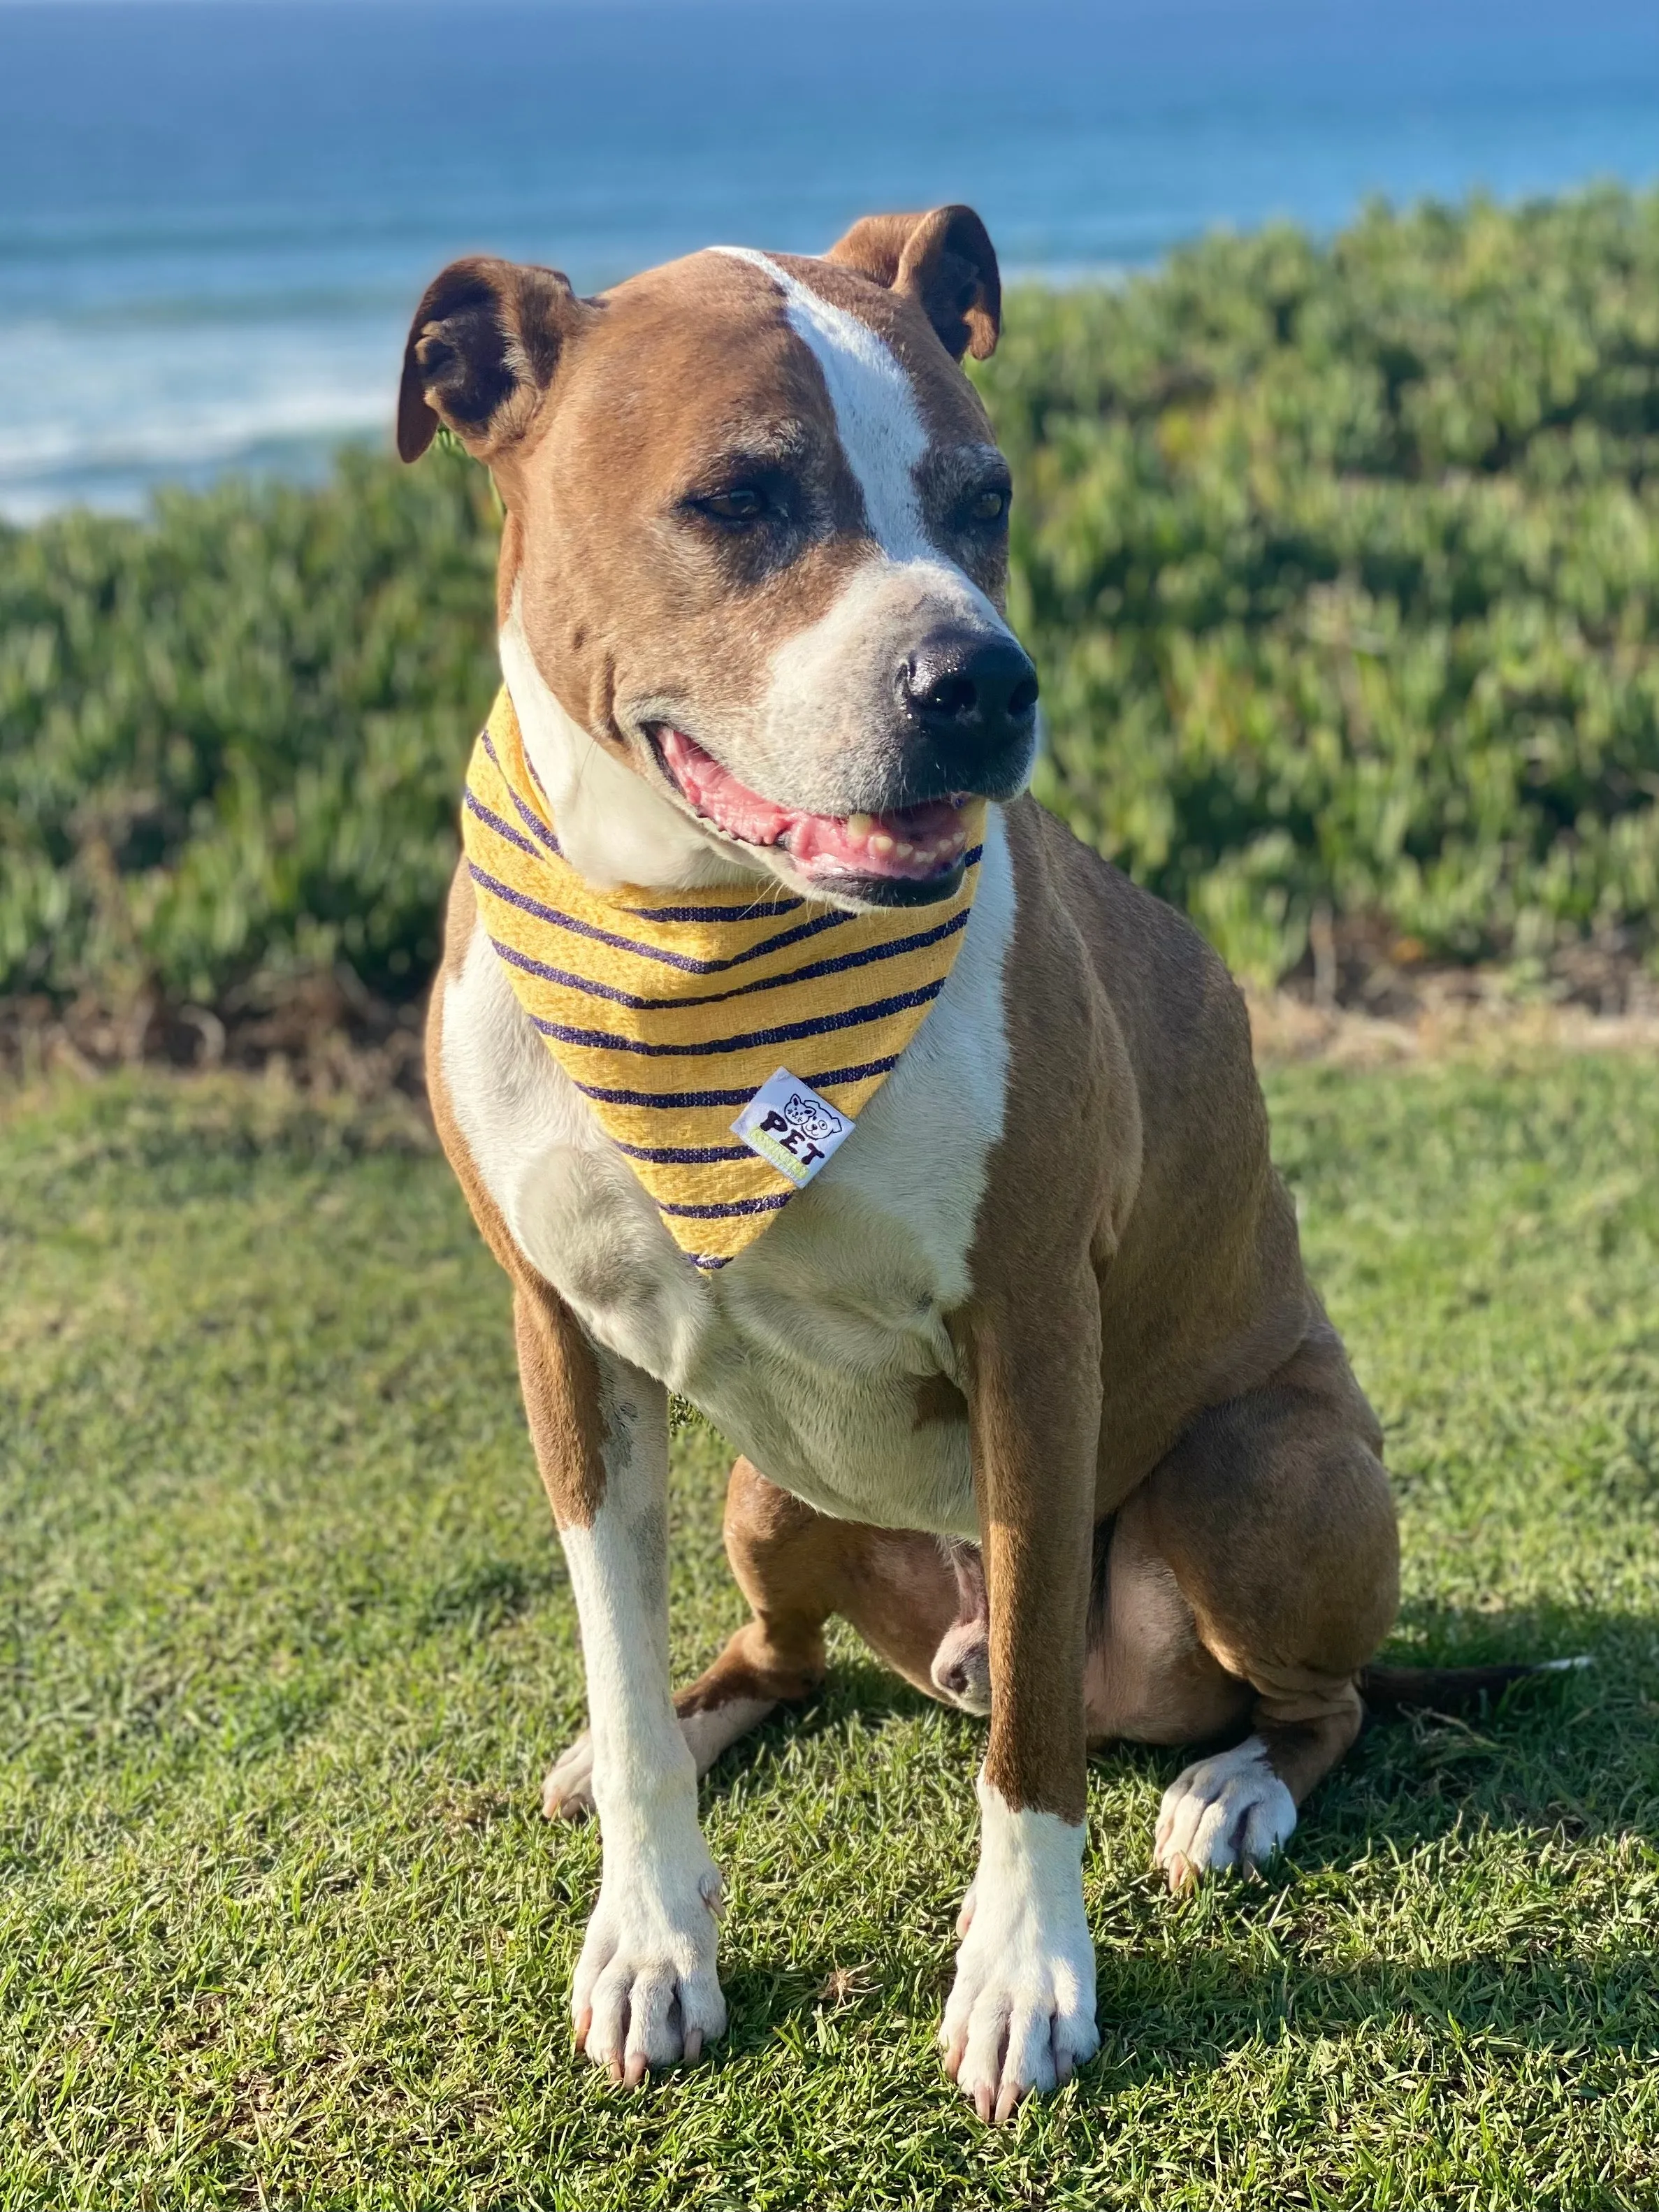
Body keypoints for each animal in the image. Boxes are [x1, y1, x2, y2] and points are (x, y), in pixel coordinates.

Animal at [403, 211, 1415, 2123]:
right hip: (763, 1491)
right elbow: (617, 1664)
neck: (696, 934)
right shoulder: (557, 1337)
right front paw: (649, 1933)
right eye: (735, 499)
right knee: (780, 1657)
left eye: (985, 496)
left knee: (1315, 1696)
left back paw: (1231, 1788)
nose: (981, 681)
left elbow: (1032, 1739)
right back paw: (700, 1718)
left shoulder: (1032, 1335)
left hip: (1252, 1475)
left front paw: (1025, 1975)